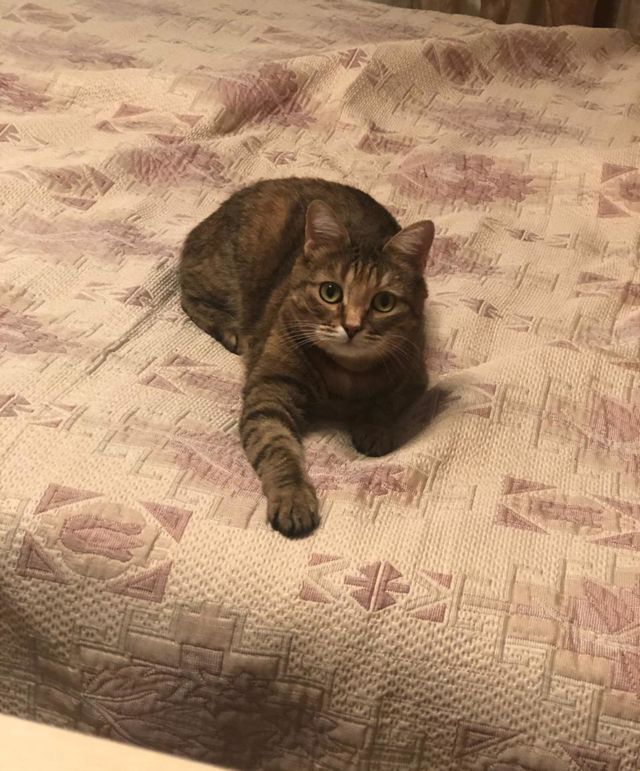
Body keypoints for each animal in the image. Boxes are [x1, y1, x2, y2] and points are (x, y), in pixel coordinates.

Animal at [179, 177, 433, 537]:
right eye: (330, 292)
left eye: (384, 302)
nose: (352, 326)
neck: (347, 375)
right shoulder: (269, 393)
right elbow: (278, 448)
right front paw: (293, 497)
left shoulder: (414, 371)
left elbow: (386, 401)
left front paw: (373, 428)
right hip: (218, 275)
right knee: (187, 291)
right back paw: (231, 329)